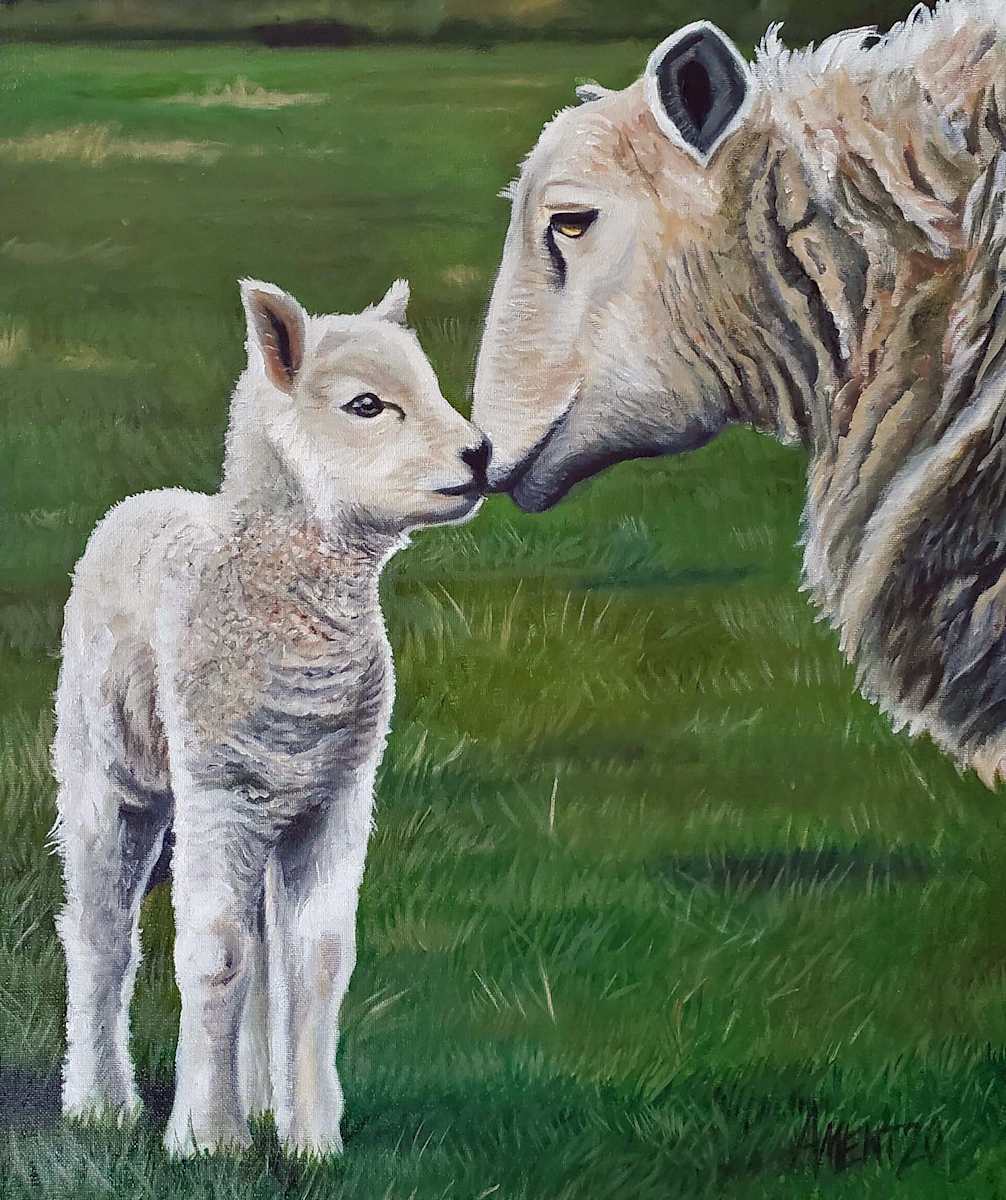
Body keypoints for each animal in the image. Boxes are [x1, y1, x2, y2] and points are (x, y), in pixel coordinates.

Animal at [52, 278, 489, 1157]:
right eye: (365, 405)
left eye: (430, 385)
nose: (482, 456)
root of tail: (143, 502)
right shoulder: (219, 788)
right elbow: (214, 955)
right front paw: (205, 1142)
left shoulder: (336, 796)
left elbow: (316, 959)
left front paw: (313, 1142)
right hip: (108, 775)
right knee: (101, 934)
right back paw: (101, 1104)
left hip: (260, 805)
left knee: (253, 937)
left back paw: (258, 1102)